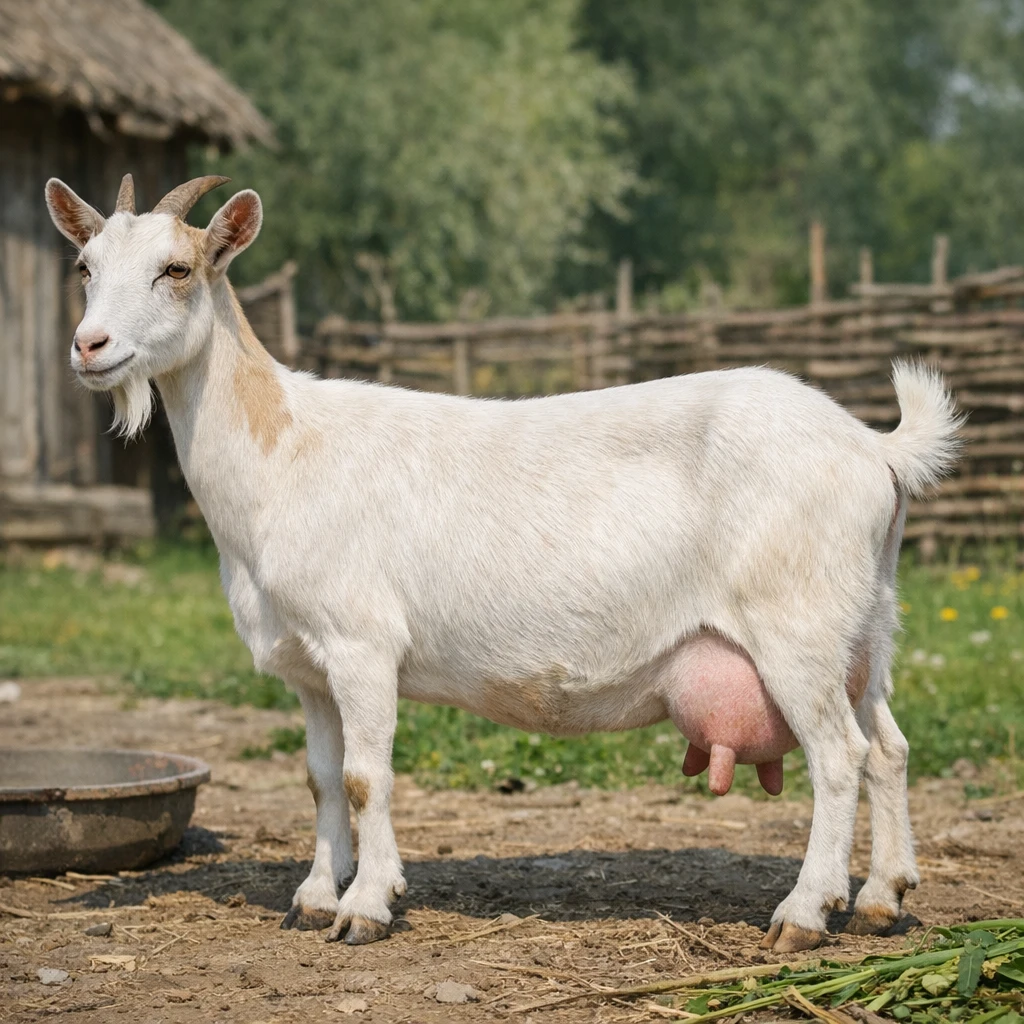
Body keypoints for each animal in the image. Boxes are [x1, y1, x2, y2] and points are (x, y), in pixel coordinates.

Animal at [46, 174, 961, 953]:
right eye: (86, 266)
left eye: (176, 268)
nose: (89, 347)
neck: (283, 453)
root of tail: (875, 448)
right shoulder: (307, 664)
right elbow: (319, 778)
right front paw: (311, 897)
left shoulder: (361, 643)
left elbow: (366, 778)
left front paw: (366, 906)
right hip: (862, 625)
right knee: (889, 746)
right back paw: (882, 898)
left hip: (795, 625)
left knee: (839, 756)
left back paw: (806, 913)